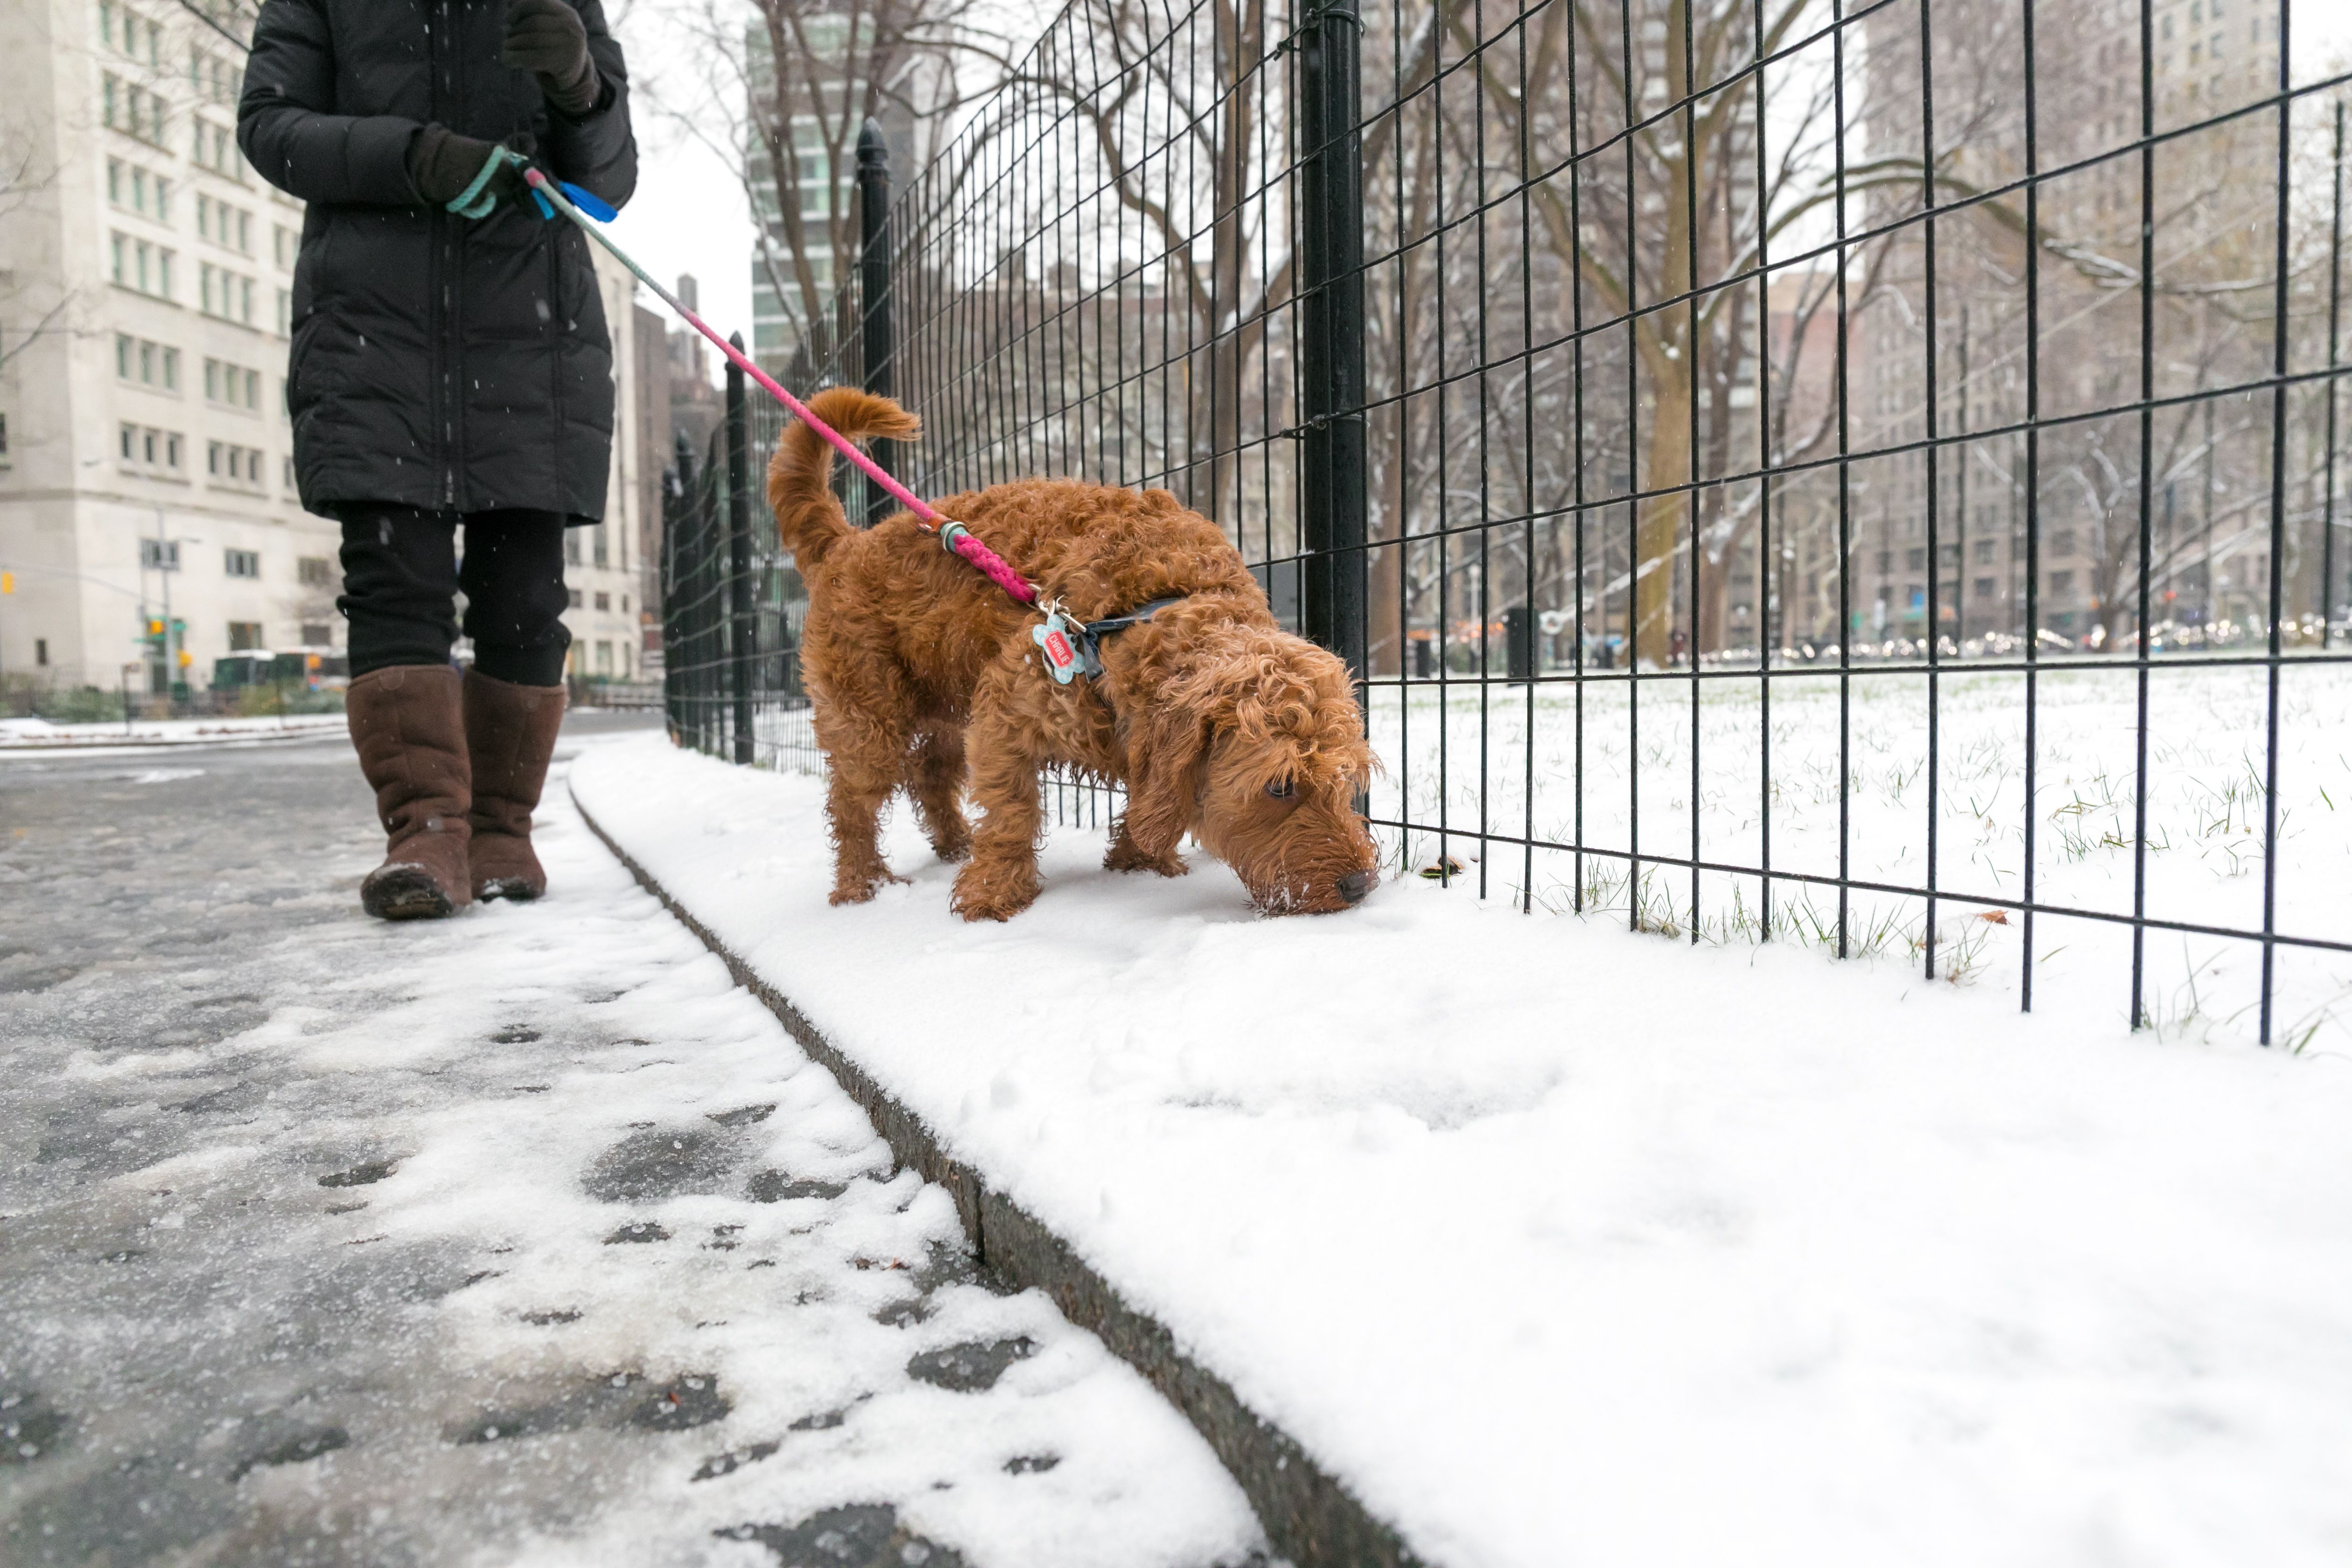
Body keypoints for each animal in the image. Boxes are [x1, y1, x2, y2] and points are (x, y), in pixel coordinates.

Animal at [762, 385, 1383, 921]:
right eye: (1280, 786)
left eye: (1347, 780)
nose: (1360, 887)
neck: (1145, 612)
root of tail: (847, 544)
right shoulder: (1006, 713)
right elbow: (1011, 815)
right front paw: (993, 894)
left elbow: (1143, 806)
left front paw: (1140, 864)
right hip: (868, 720)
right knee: (852, 806)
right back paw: (863, 887)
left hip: (943, 708)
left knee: (930, 775)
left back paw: (956, 844)